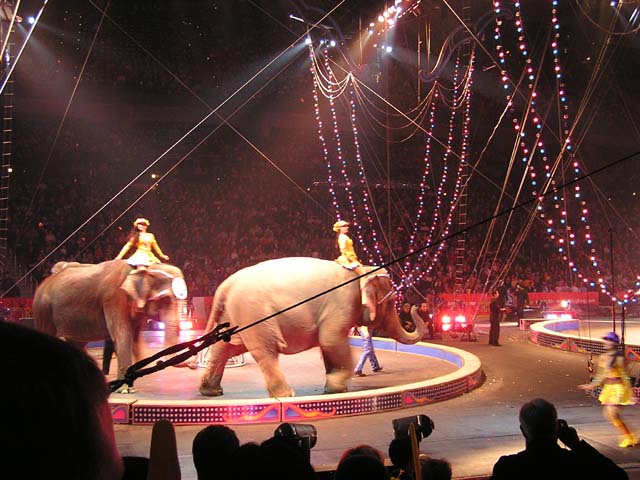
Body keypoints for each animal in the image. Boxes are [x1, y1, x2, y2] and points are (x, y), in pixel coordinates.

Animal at [33, 260, 188, 391]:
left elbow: (135, 339)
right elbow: (123, 335)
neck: (141, 268)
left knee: (78, 343)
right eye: (165, 299)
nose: (190, 365)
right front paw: (126, 389)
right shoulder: (114, 297)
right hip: (43, 309)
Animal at [199, 257, 425, 397]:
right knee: (265, 351)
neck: (360, 271)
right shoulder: (342, 303)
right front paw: (336, 385)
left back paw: (211, 391)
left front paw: (335, 388)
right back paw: (286, 394)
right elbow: (331, 340)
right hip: (254, 314)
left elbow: (328, 346)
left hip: (234, 316)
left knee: (225, 348)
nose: (416, 305)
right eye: (391, 301)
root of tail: (225, 286)